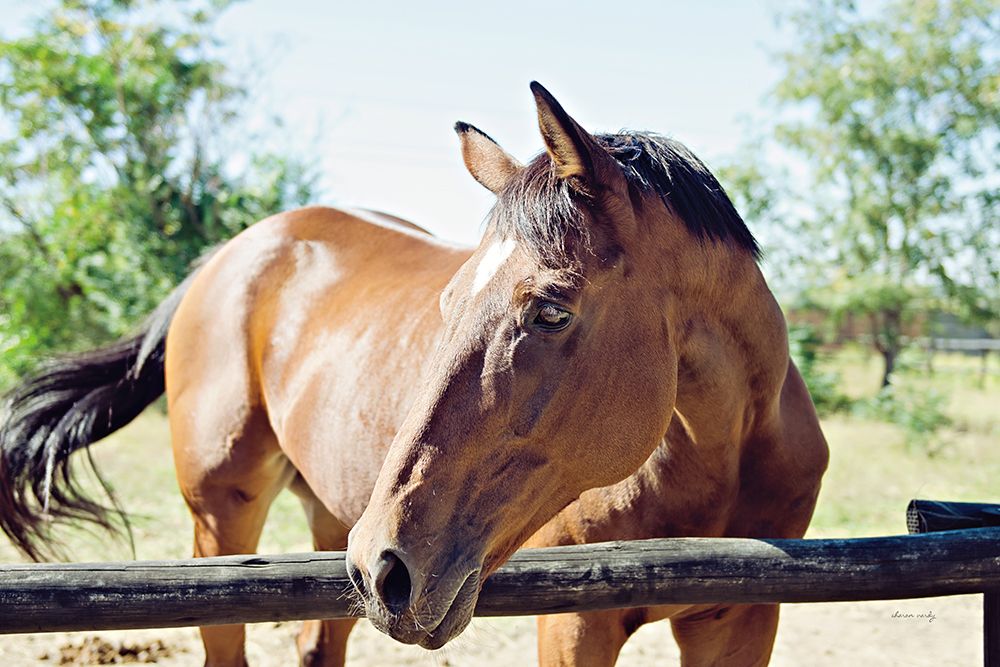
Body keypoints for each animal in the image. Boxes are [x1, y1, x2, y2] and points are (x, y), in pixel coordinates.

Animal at [1, 81, 828, 664]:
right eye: (449, 300)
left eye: (550, 311)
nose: (386, 567)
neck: (717, 457)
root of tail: (227, 255)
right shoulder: (574, 624)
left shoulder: (741, 621)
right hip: (220, 521)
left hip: (325, 513)